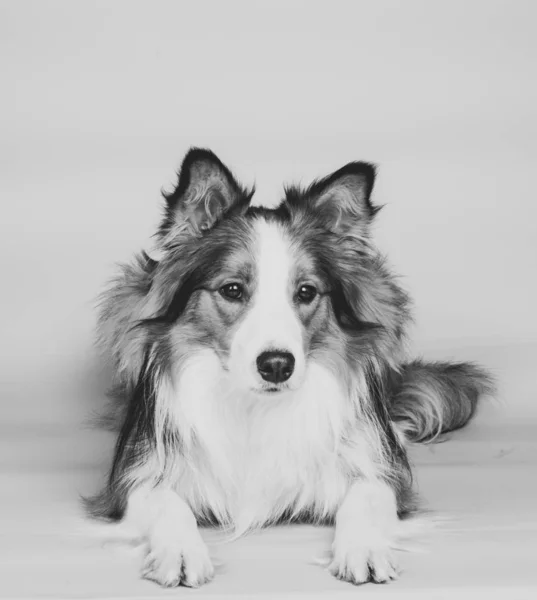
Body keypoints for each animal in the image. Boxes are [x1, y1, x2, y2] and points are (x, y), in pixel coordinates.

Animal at [87, 148, 490, 588]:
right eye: (232, 290)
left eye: (306, 292)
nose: (277, 365)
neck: (254, 409)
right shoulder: (134, 479)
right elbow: (166, 504)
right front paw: (179, 552)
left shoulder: (379, 475)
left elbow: (365, 497)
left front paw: (365, 549)